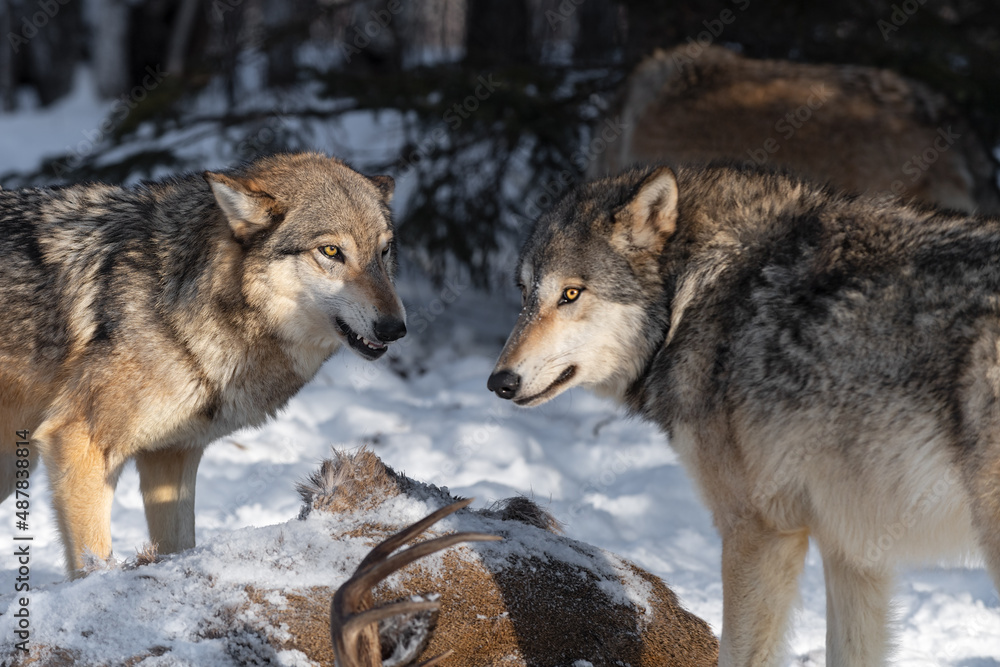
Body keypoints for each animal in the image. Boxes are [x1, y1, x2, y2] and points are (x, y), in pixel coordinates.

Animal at [0, 152, 406, 576]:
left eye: (384, 251)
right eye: (330, 252)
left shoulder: (172, 455)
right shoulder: (79, 443)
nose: (396, 328)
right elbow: (93, 563)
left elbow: (179, 547)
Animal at [488, 163, 1000, 665]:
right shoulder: (853, 548)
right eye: (525, 294)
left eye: (571, 294)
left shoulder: (759, 531)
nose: (499, 382)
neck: (696, 293)